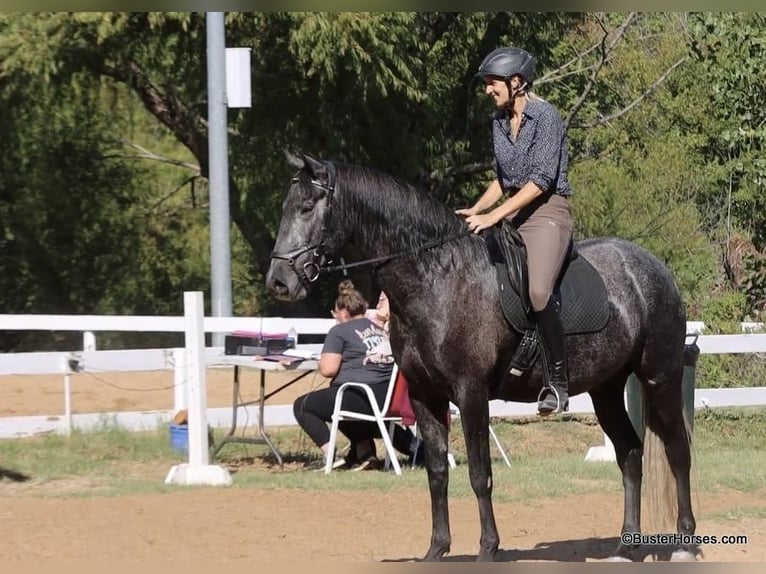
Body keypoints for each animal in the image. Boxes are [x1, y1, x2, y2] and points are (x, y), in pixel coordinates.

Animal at [265, 152, 696, 562]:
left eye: (307, 207)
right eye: (285, 207)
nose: (279, 283)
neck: (436, 278)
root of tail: (653, 268)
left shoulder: (470, 394)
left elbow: (479, 473)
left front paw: (488, 548)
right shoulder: (425, 396)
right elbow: (437, 471)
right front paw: (437, 549)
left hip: (660, 377)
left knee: (677, 451)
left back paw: (685, 543)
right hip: (606, 390)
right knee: (630, 454)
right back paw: (626, 547)